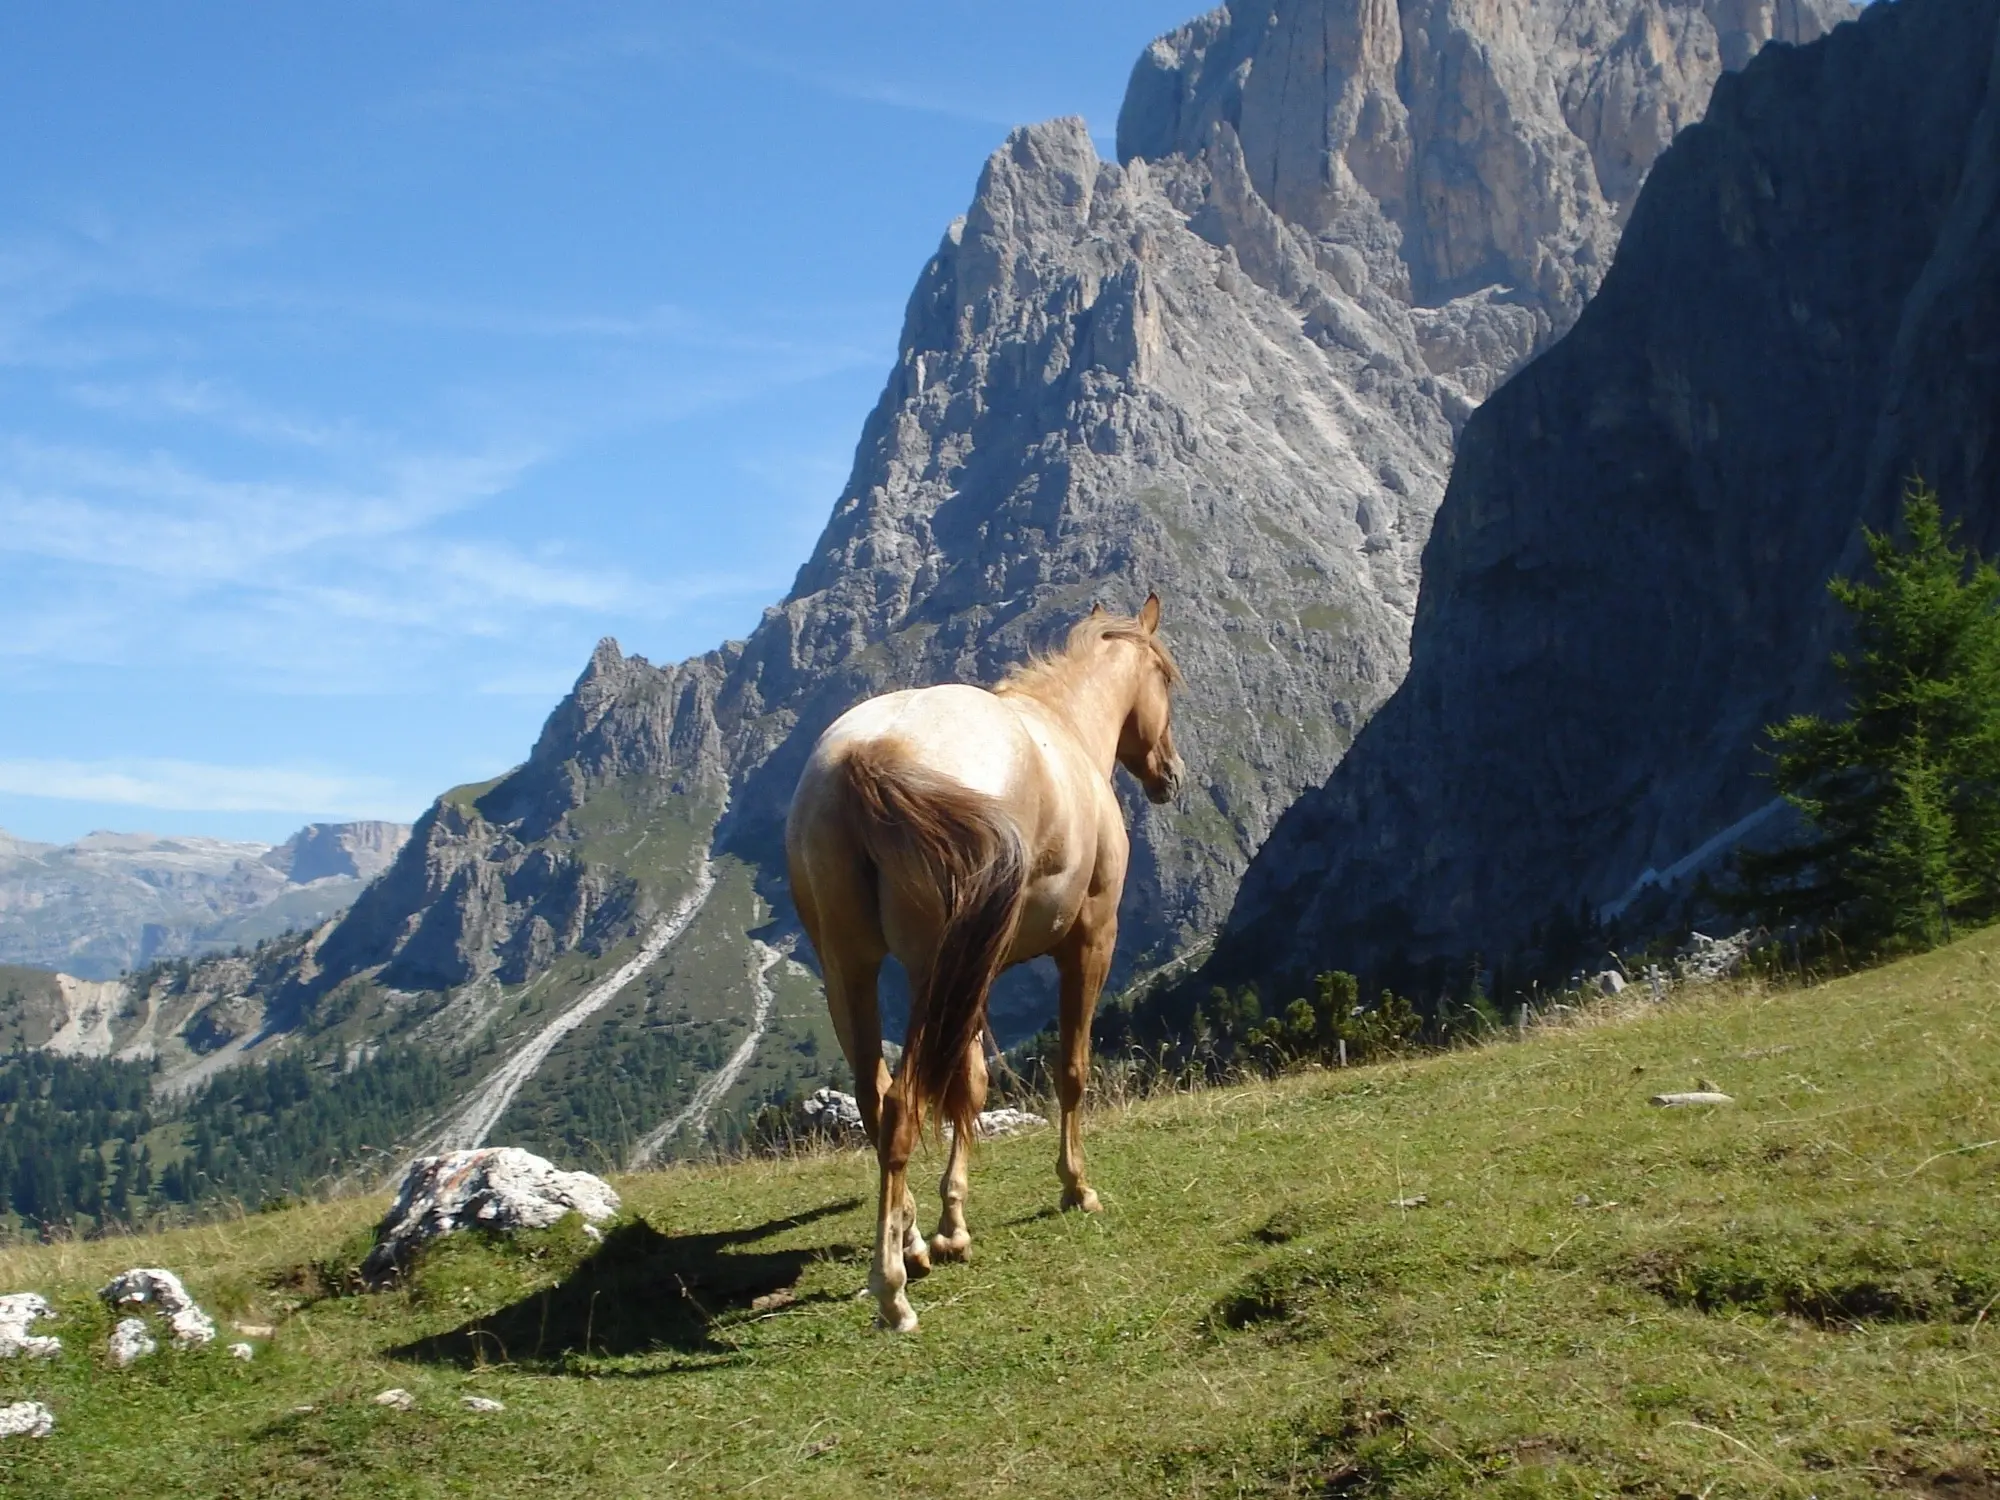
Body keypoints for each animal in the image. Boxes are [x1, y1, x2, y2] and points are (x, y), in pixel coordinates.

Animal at [784, 592, 1184, 1336]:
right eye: (1167, 681)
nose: (1170, 772)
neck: (1065, 731)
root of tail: (867, 755)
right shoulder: (1090, 940)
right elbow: (1070, 1068)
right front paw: (1074, 1186)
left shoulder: (977, 973)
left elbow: (968, 1087)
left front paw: (947, 1226)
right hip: (929, 972)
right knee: (904, 1103)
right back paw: (892, 1290)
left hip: (849, 969)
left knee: (876, 1100)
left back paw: (908, 1244)